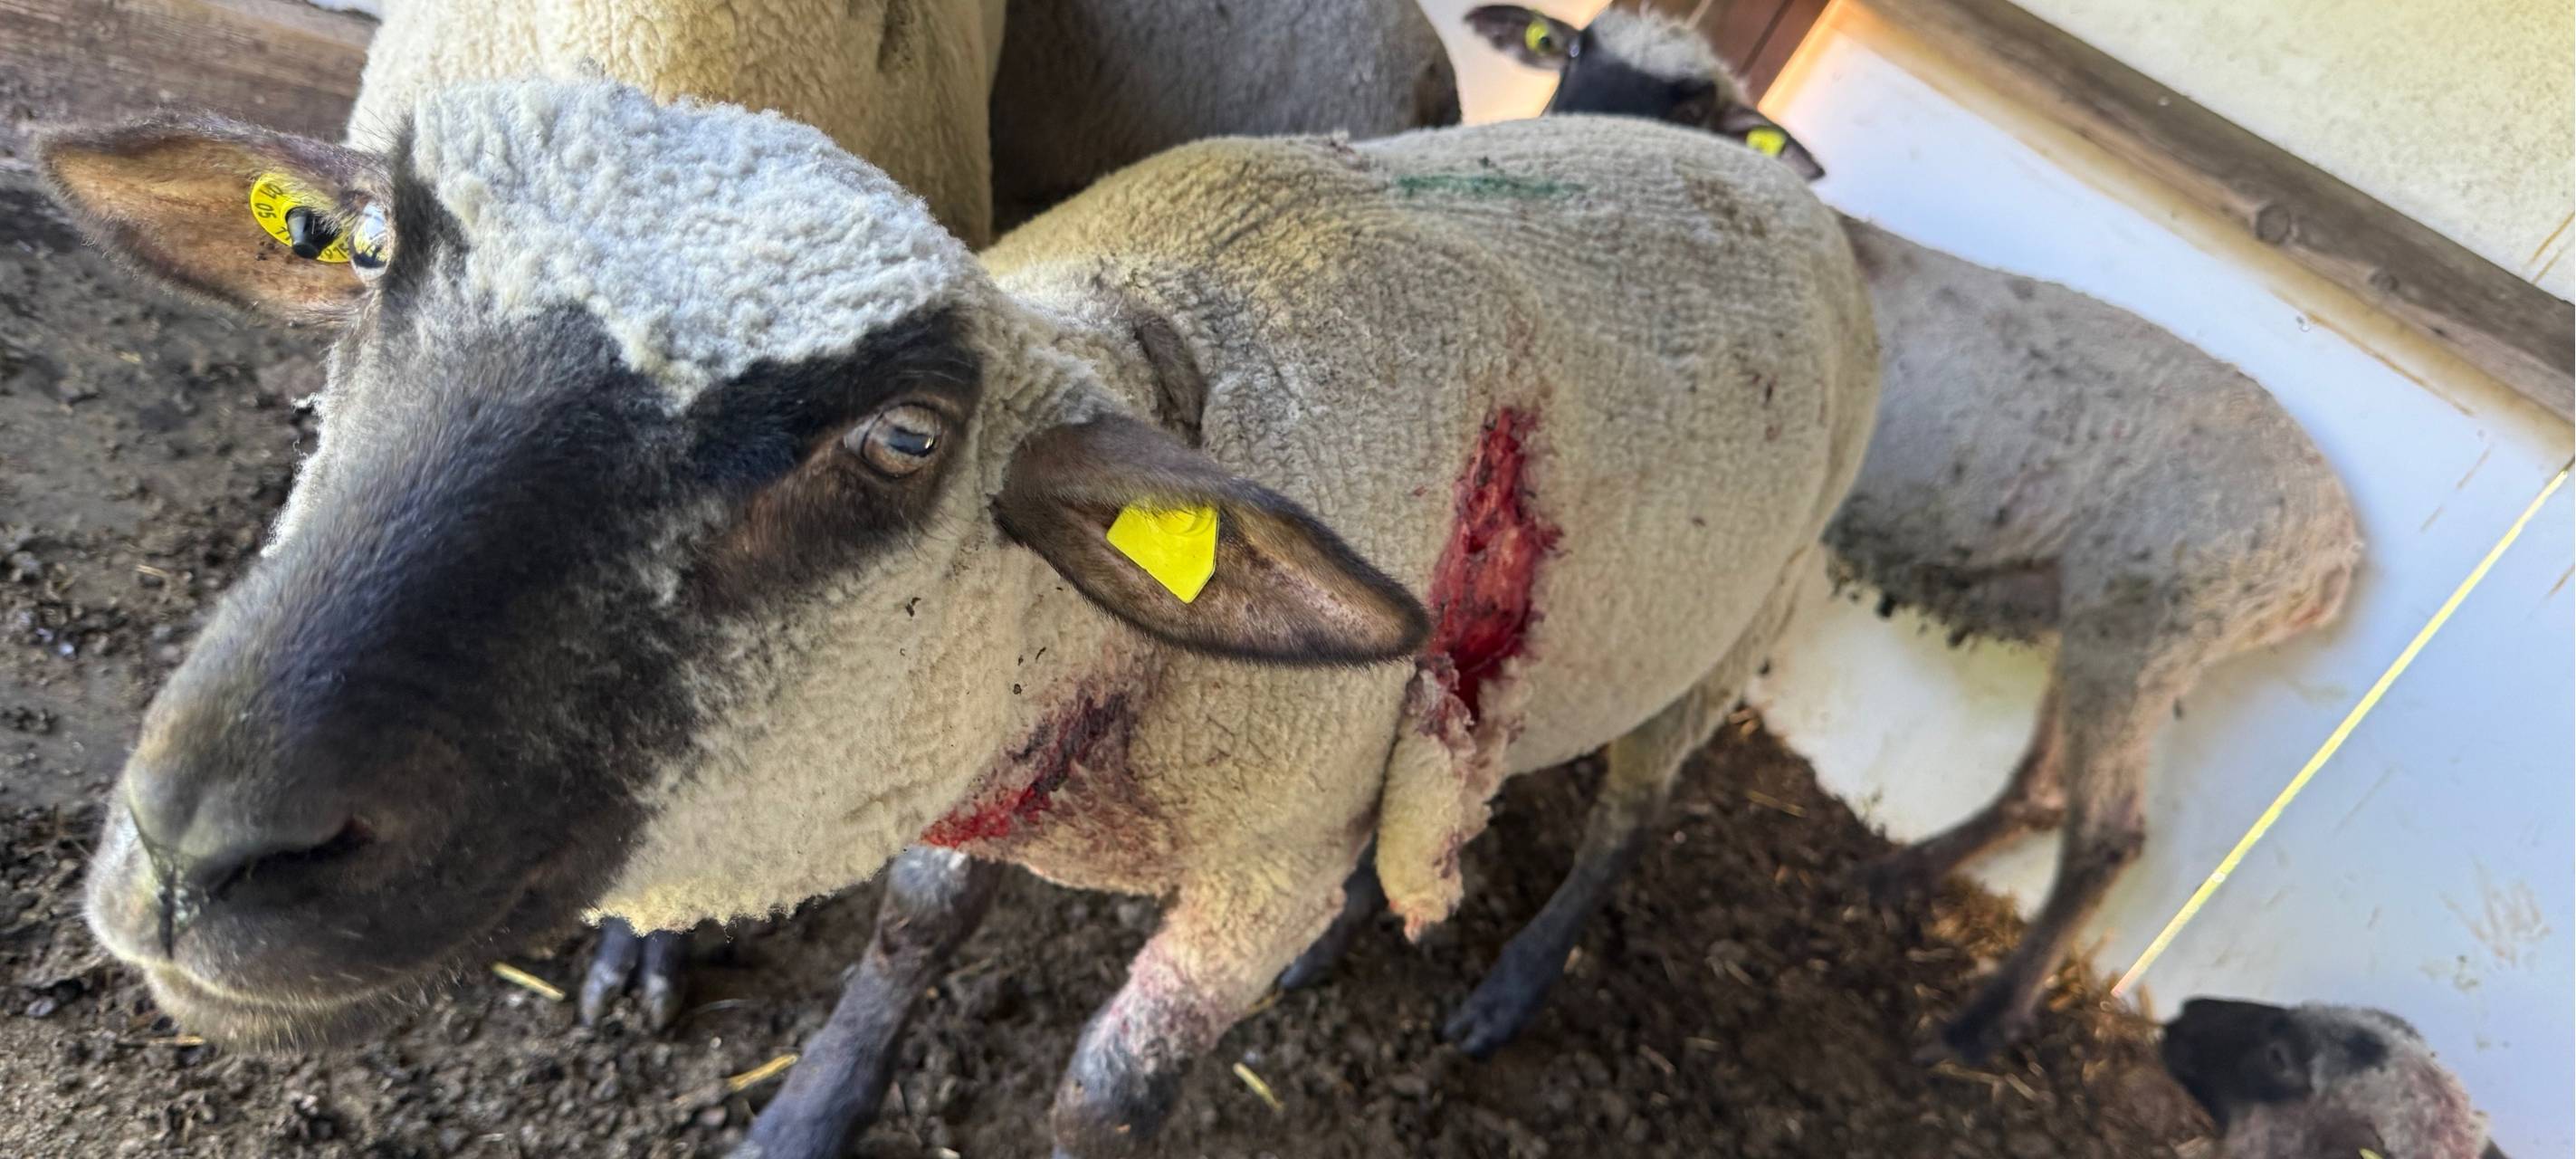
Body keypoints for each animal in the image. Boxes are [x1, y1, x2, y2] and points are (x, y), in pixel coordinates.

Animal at [43, 79, 1875, 1156]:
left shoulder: (1247, 866)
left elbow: (1106, 1096)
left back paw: (1503, 994)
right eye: (359, 252)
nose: (203, 849)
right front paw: (807, 1117)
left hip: (1745, 618)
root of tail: (1766, 172)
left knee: (1628, 816)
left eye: (905, 442)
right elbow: (914, 929)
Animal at [1423, 4, 2362, 1061]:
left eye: (1696, 108)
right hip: (2096, 621)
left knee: (2109, 834)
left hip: (2149, 624)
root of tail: (2335, 553)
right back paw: (1895, 875)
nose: (1564, 142)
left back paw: (1981, 1024)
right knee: (2046, 791)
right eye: (1572, 50)